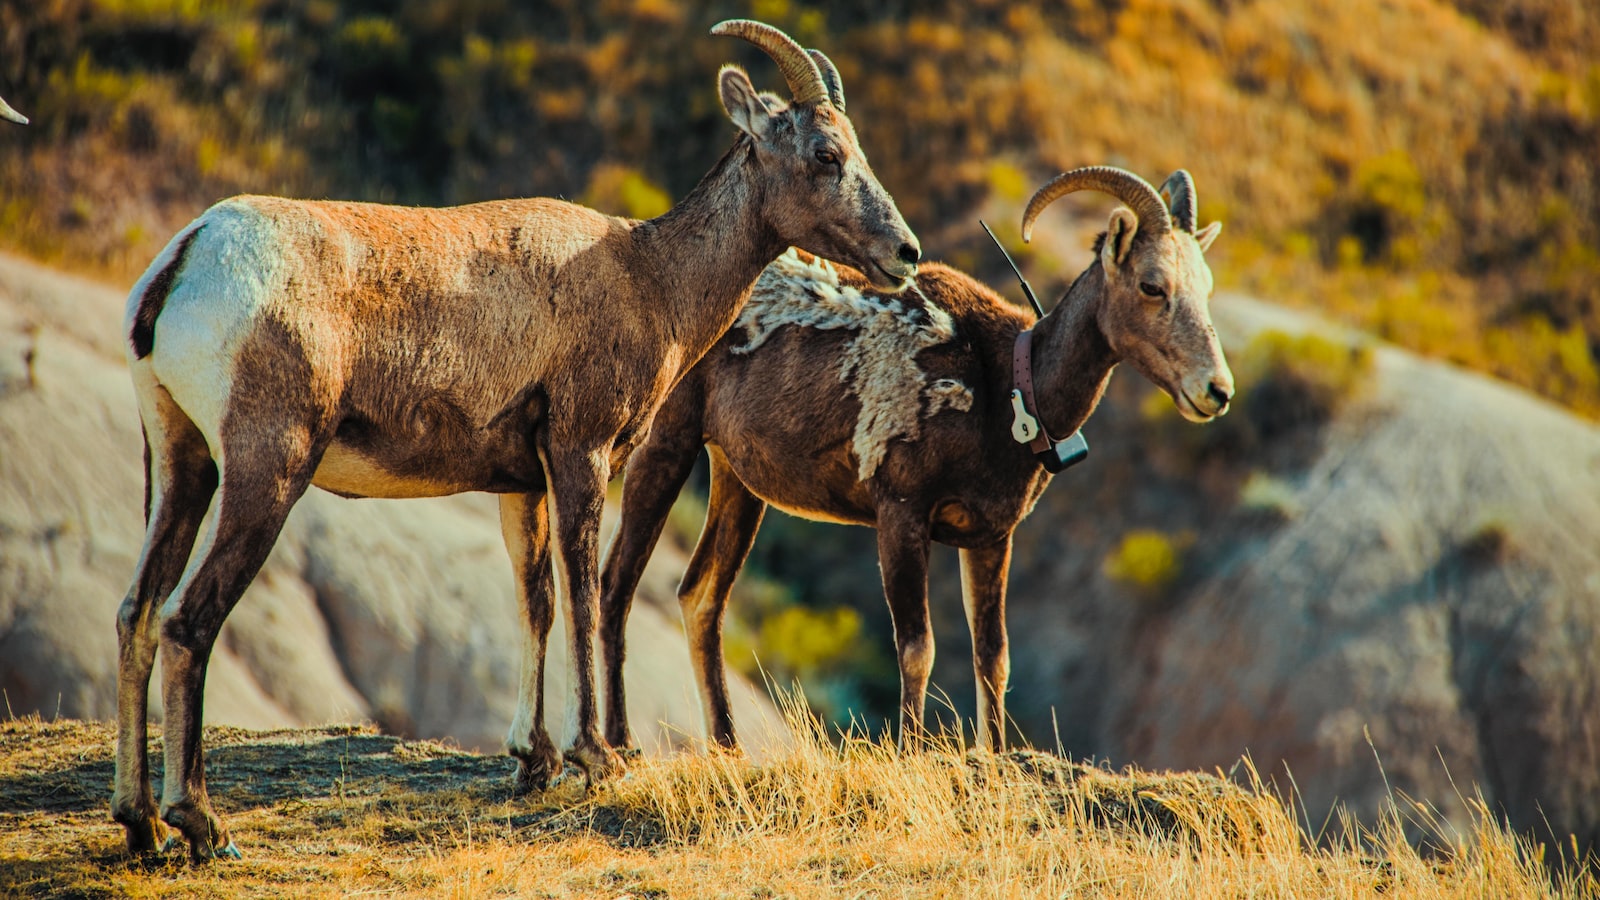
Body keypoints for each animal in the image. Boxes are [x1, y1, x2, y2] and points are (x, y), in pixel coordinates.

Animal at [112, 21, 921, 858]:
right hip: (265, 473)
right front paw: (596, 756)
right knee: (187, 621)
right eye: (825, 154)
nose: (905, 254)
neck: (650, 278)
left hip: (179, 463)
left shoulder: (520, 486)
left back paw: (139, 822)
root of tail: (187, 259)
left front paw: (533, 761)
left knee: (137, 612)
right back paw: (201, 823)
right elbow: (584, 594)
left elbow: (536, 603)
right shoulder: (580, 454)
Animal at [595, 166, 1228, 749]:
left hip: (738, 483)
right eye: (1152, 285)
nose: (1216, 390)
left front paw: (992, 758)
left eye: (1205, 288)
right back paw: (619, 742)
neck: (1006, 388)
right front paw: (911, 750)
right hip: (666, 446)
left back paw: (728, 748)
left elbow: (992, 655)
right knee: (616, 584)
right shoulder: (901, 515)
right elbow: (917, 647)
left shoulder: (990, 538)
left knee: (701, 598)